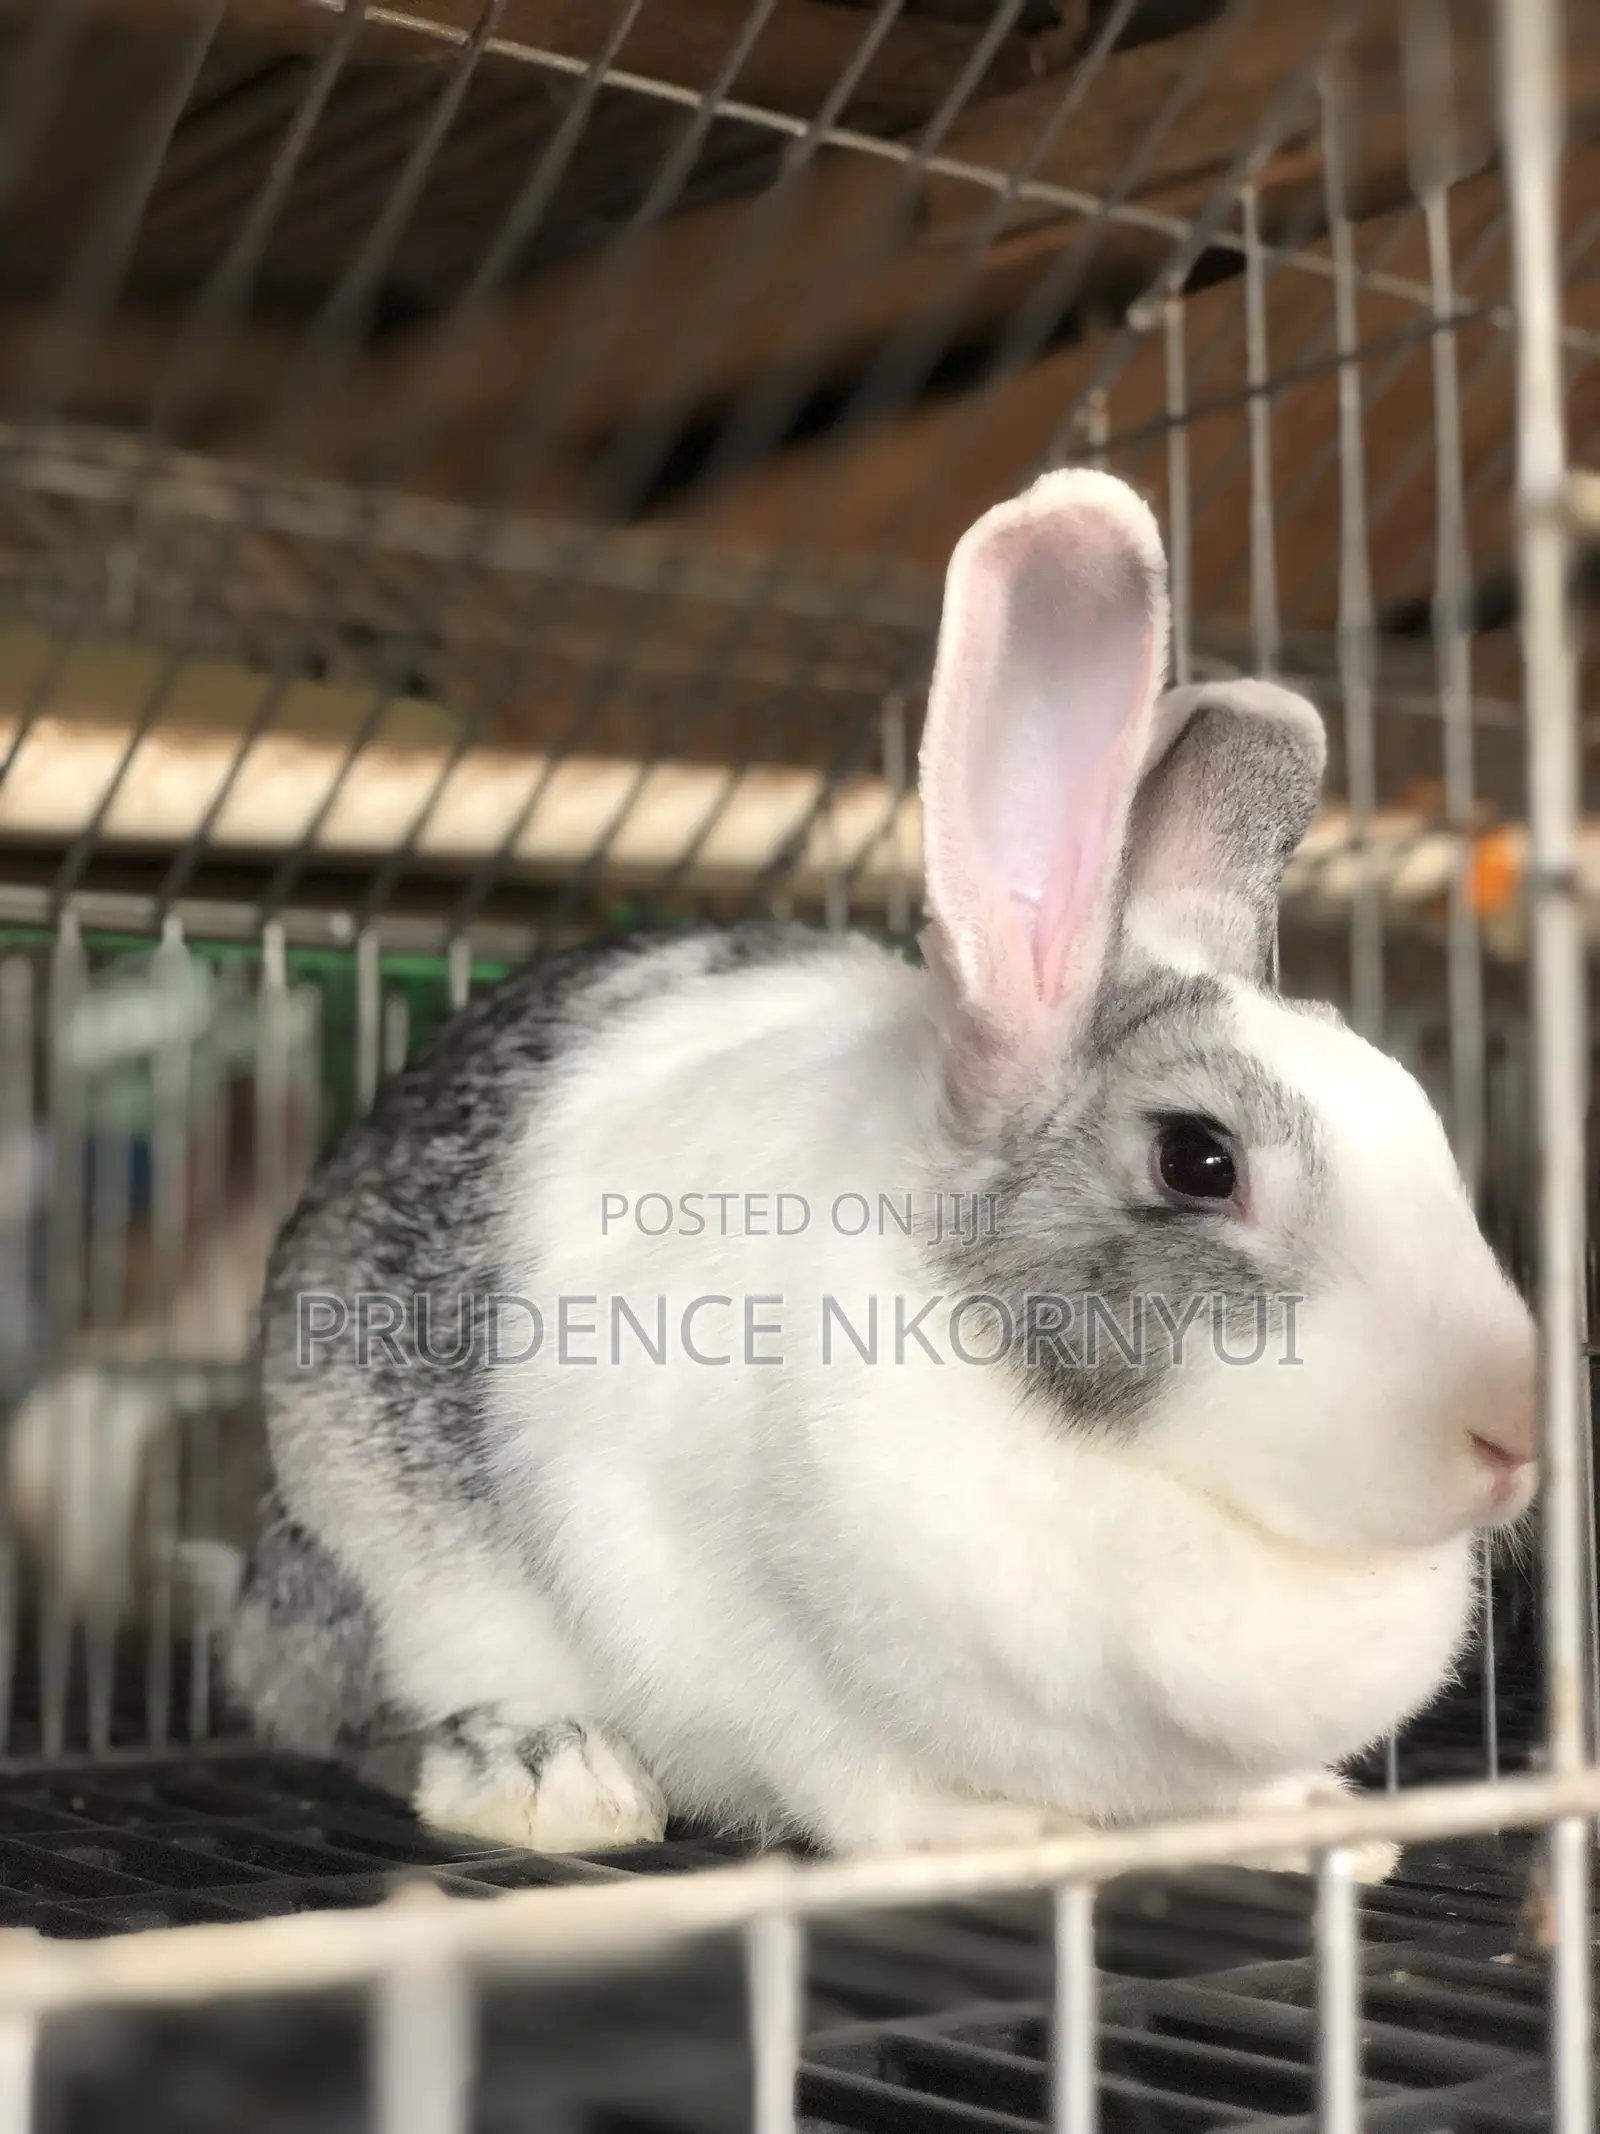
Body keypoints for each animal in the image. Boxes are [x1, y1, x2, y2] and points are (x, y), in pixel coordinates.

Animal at [223, 468, 1537, 1877]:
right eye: (1197, 1160)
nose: (1512, 1436)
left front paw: (1315, 1824)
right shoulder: (748, 1649)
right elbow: (857, 1784)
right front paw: (998, 1830)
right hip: (376, 1558)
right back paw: (552, 1776)